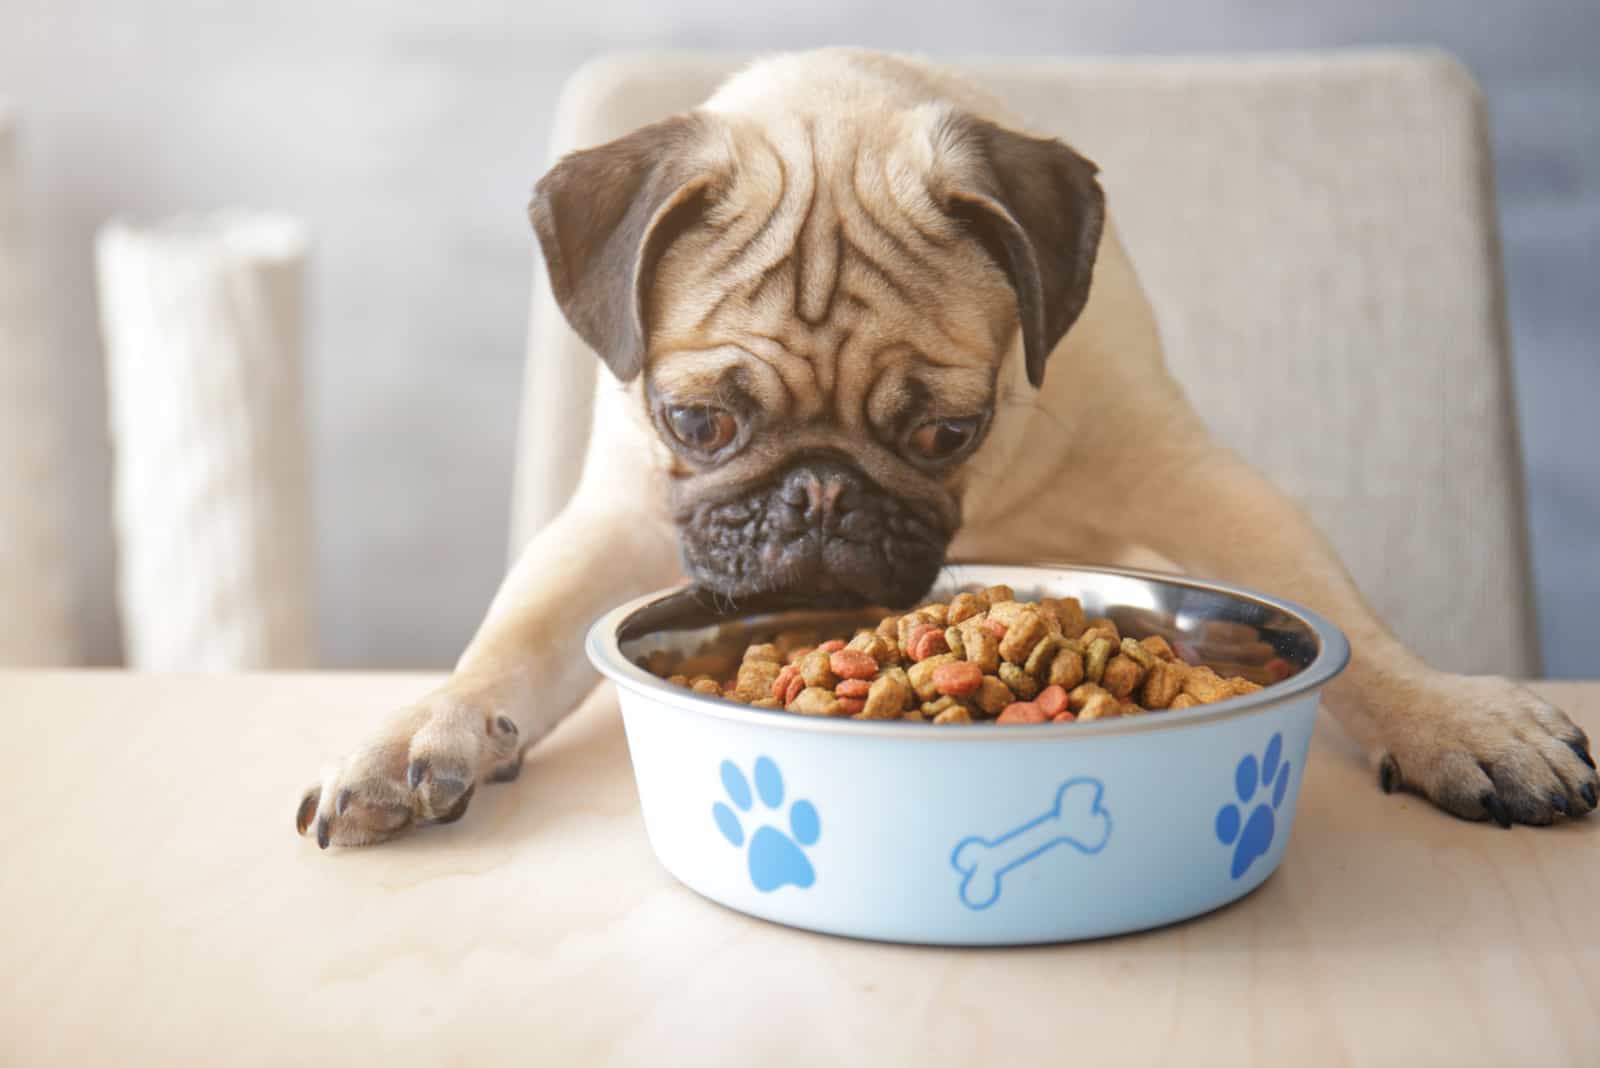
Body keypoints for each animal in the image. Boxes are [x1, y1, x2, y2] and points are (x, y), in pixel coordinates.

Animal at [294, 47, 1593, 850]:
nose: (818, 497)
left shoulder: (1197, 484)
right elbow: (505, 647)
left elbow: (1359, 631)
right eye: (697, 423)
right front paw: (420, 731)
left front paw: (1457, 722)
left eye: (944, 431)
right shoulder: (614, 526)